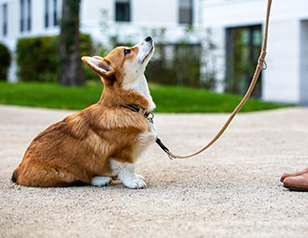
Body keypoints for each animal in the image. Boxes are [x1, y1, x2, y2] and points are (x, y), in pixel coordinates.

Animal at [11, 36, 156, 189]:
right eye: (127, 51)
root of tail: (18, 170)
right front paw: (133, 181)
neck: (125, 105)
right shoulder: (122, 153)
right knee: (81, 178)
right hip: (62, 174)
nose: (149, 37)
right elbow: (128, 167)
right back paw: (101, 179)